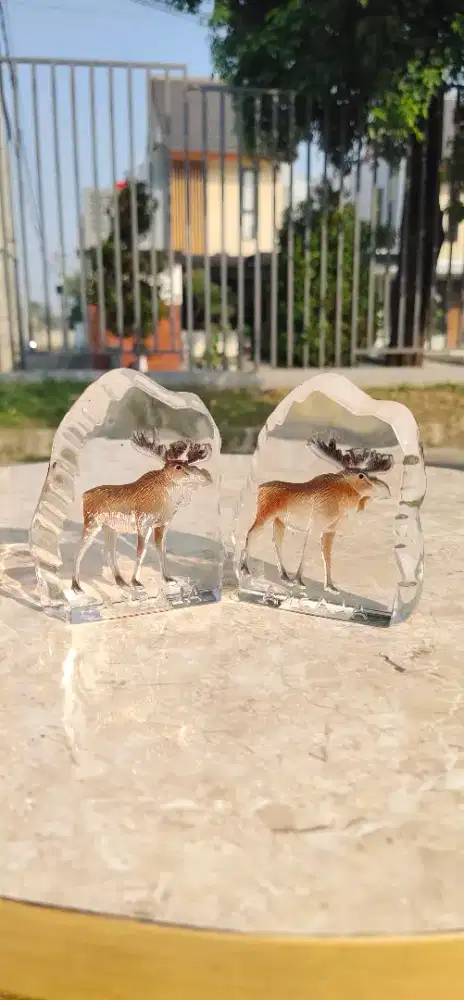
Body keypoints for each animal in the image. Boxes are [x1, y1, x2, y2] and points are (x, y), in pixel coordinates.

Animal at [71, 432, 213, 595]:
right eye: (178, 466)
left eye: (189, 465)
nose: (205, 477)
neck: (165, 503)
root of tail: (84, 496)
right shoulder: (143, 522)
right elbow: (141, 551)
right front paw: (136, 582)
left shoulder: (162, 525)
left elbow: (162, 550)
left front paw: (168, 578)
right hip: (92, 522)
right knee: (80, 548)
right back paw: (76, 587)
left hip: (110, 528)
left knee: (109, 551)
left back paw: (121, 582)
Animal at [239, 435, 393, 595]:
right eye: (361, 476)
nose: (386, 490)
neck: (342, 500)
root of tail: (260, 488)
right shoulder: (315, 527)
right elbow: (306, 552)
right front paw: (299, 580)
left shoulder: (330, 531)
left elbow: (327, 556)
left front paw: (330, 586)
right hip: (265, 515)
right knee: (251, 533)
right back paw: (245, 569)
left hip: (279, 521)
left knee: (276, 542)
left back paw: (285, 576)